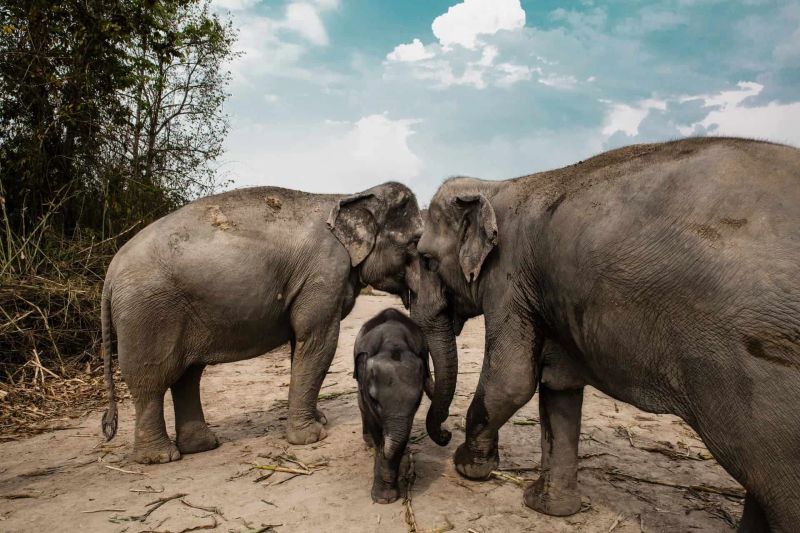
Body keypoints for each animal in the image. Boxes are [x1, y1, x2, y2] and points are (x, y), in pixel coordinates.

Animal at [100, 182, 422, 464]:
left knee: (187, 375)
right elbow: (317, 341)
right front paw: (311, 437)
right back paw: (160, 458)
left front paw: (319, 420)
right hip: (148, 313)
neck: (350, 195)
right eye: (415, 242)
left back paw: (202, 446)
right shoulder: (324, 272)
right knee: (151, 381)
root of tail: (109, 274)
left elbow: (301, 344)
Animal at [353, 308, 433, 503]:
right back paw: (369, 442)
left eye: (417, 400)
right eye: (374, 400)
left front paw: (386, 497)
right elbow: (372, 419)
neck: (393, 342)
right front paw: (383, 499)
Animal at [412, 138, 800, 532]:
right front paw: (547, 507)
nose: (444, 436)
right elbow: (559, 388)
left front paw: (469, 466)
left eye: (426, 259)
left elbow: (511, 381)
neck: (495, 185)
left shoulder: (509, 277)